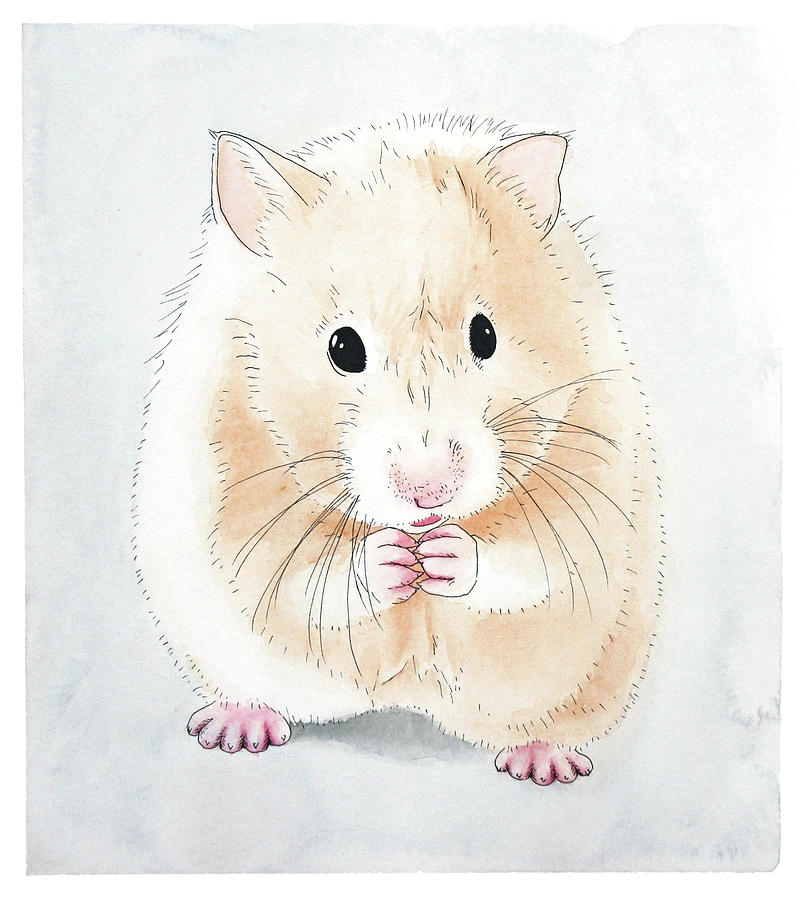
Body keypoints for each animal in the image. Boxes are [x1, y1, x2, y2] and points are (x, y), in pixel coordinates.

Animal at [132, 113, 663, 786]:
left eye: (485, 335)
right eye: (343, 347)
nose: (429, 491)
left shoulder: (588, 496)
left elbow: (529, 566)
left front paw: (444, 556)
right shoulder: (229, 497)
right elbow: (293, 581)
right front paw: (390, 560)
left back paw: (543, 765)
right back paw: (236, 730)